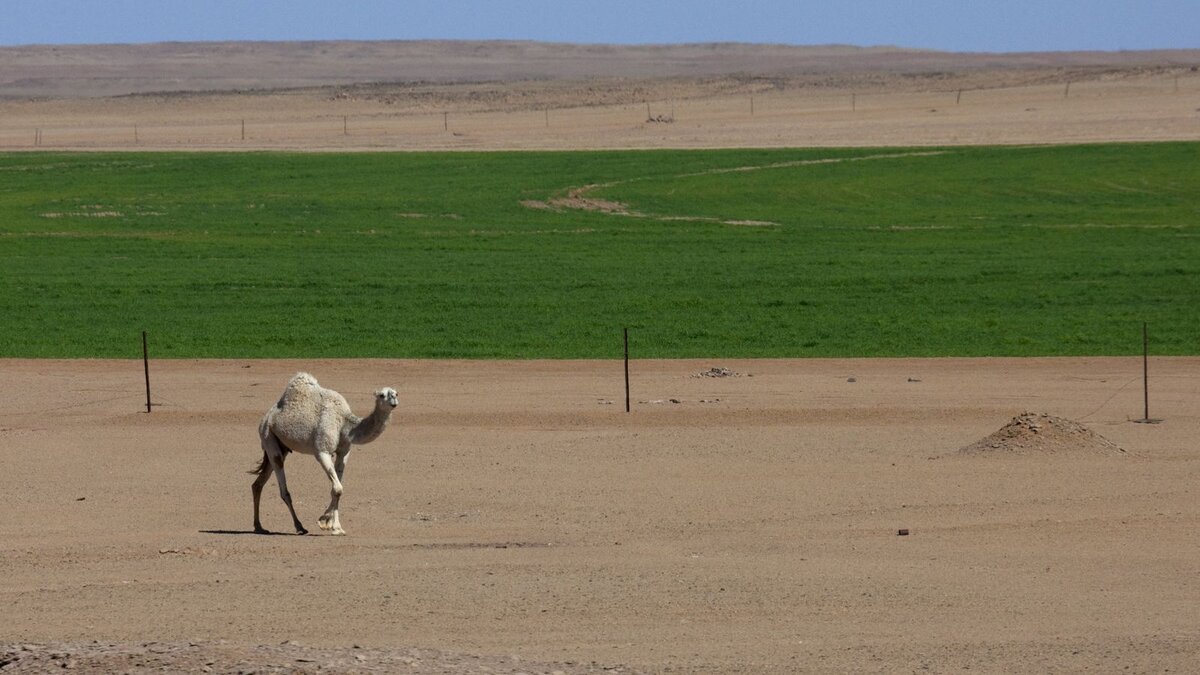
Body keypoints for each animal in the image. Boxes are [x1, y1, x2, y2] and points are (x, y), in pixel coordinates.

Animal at [250, 369, 400, 533]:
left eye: (396, 393)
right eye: (382, 395)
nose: (394, 401)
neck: (344, 421)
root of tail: (265, 418)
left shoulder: (344, 452)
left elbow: (337, 488)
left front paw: (336, 527)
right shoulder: (322, 451)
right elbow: (338, 488)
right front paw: (324, 520)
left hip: (281, 446)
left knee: (258, 484)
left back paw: (259, 526)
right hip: (267, 435)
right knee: (283, 488)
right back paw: (299, 526)